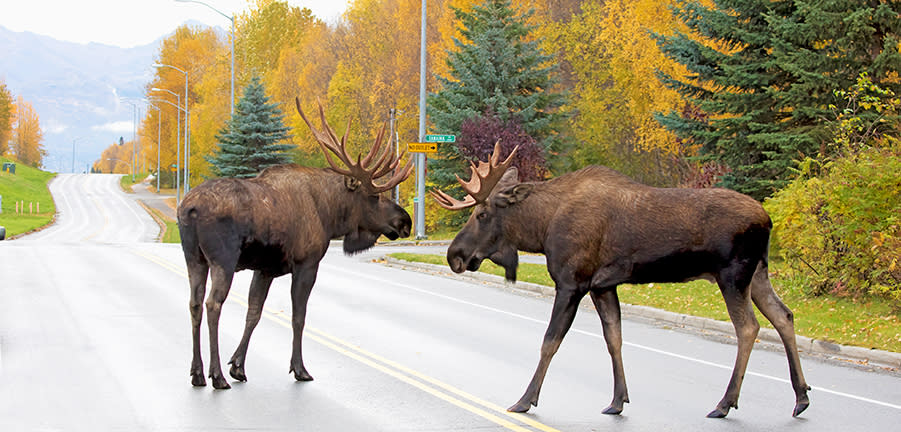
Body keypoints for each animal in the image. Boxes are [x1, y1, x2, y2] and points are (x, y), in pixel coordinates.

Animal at [177, 99, 413, 389]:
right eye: (374, 195)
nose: (406, 221)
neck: (329, 215)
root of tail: (190, 209)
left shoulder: (264, 270)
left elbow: (254, 313)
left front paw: (239, 366)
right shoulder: (306, 264)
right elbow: (298, 317)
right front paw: (299, 368)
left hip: (193, 258)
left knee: (194, 303)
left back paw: (198, 373)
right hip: (223, 260)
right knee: (213, 304)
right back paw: (216, 375)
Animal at [431, 142, 810, 418]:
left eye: (482, 214)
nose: (454, 255)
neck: (541, 229)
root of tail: (768, 219)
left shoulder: (572, 282)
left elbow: (549, 341)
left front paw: (525, 399)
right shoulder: (603, 286)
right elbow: (614, 338)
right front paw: (618, 400)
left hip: (733, 274)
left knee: (749, 327)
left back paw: (724, 403)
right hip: (758, 273)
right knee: (784, 315)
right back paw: (800, 398)